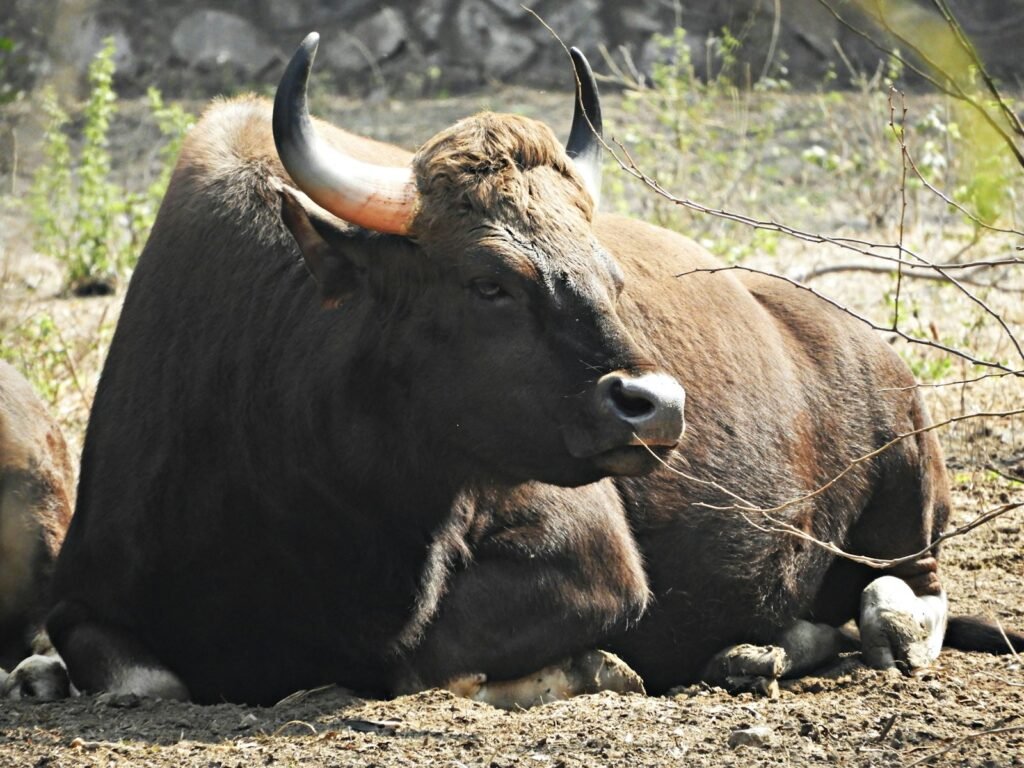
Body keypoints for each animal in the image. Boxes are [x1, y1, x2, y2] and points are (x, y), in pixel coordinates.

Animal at [44, 34, 1022, 707]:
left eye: (608, 272)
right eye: (488, 282)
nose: (655, 405)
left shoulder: (594, 563)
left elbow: (416, 658)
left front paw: (597, 667)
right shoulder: (85, 594)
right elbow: (138, 676)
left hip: (909, 485)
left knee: (902, 600)